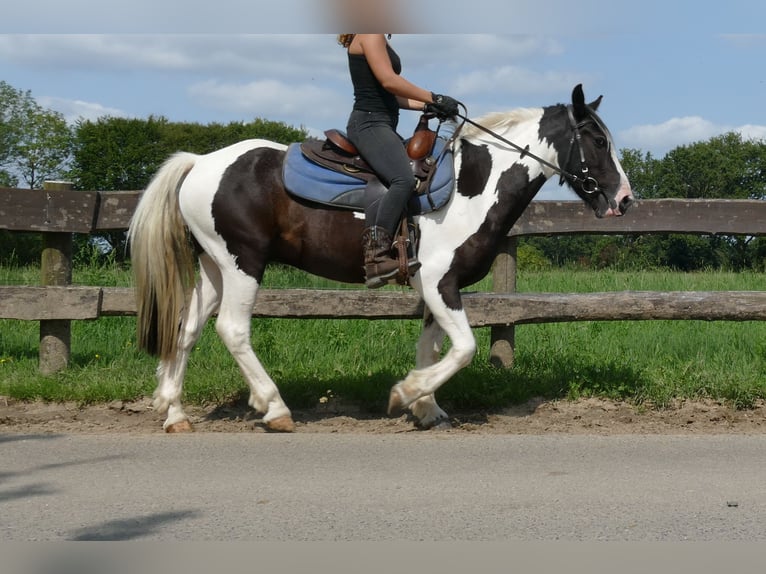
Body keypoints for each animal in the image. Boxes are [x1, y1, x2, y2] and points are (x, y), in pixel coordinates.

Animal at [129, 85, 636, 434]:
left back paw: (173, 412)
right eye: (596, 140)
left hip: (214, 266)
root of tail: (200, 162)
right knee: (232, 330)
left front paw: (427, 408)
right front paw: (406, 393)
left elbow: (432, 346)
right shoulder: (438, 282)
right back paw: (274, 408)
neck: (472, 185)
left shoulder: (438, 286)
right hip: (243, 263)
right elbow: (465, 348)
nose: (625, 199)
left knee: (186, 329)